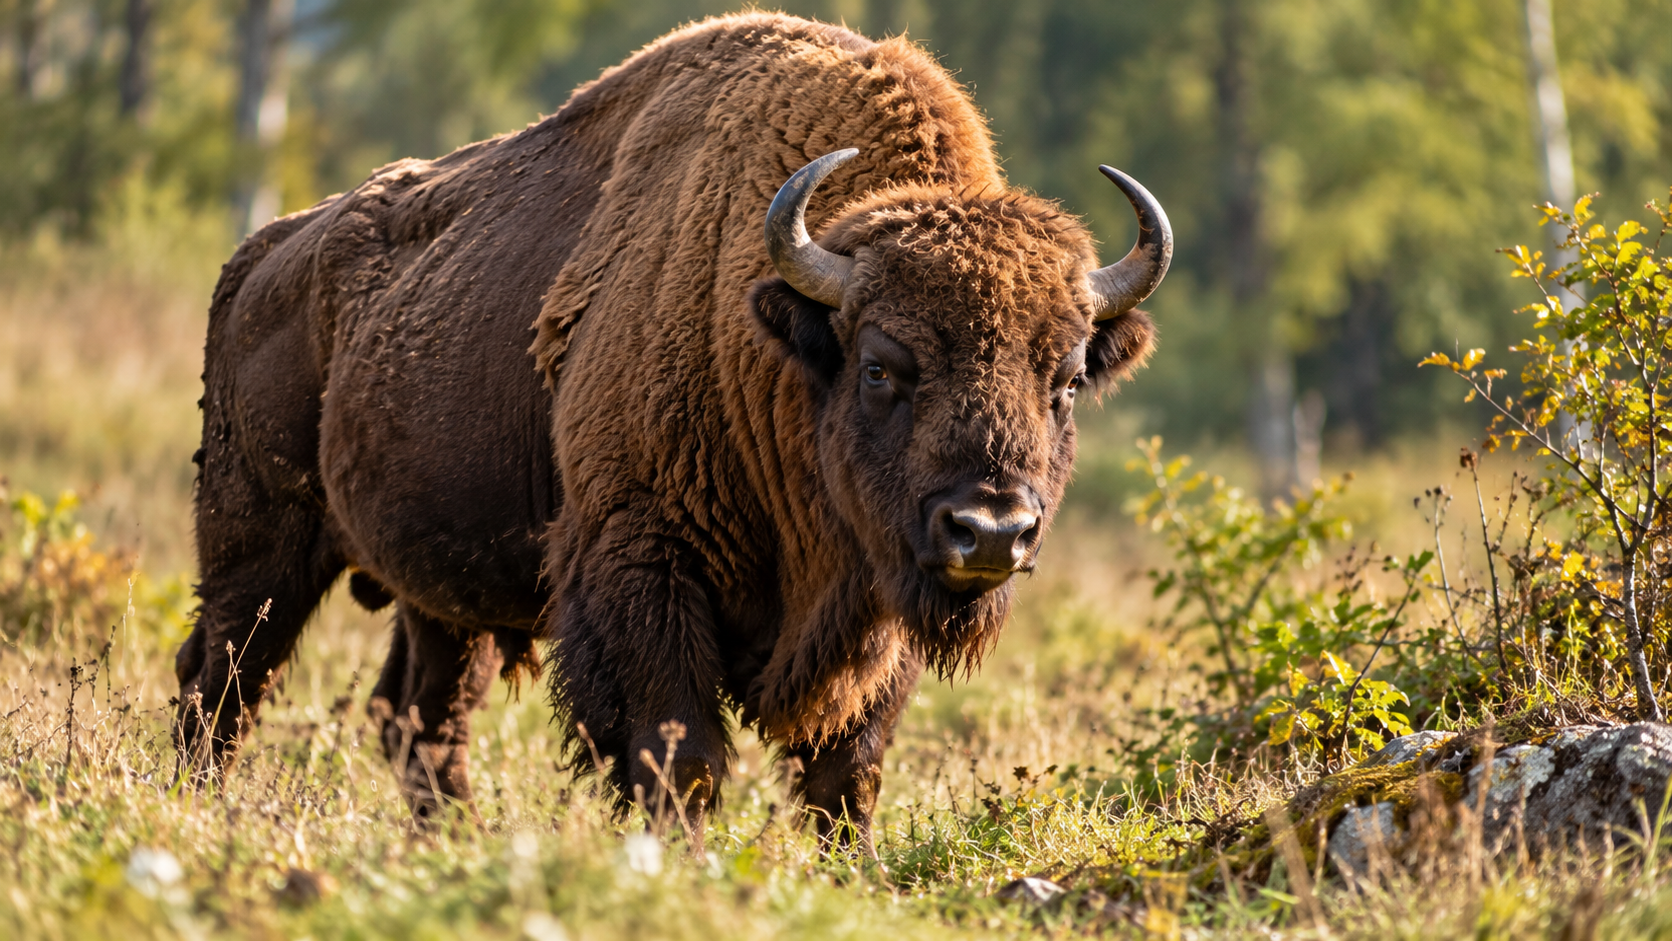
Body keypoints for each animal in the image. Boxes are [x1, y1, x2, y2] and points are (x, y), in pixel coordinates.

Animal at [174, 12, 1170, 851]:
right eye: (882, 365)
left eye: (1066, 379)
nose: (991, 531)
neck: (776, 340)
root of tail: (262, 256)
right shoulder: (643, 565)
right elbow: (678, 753)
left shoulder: (875, 606)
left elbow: (846, 773)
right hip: (259, 543)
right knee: (221, 677)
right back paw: (196, 809)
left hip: (441, 592)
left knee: (416, 713)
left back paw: (450, 842)